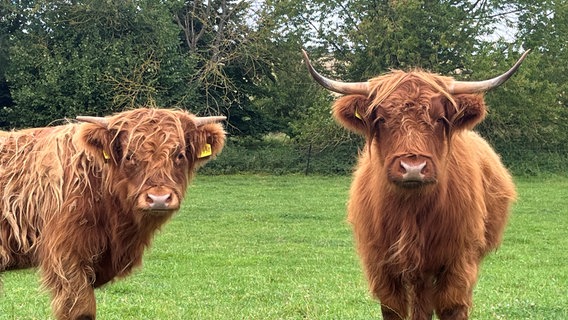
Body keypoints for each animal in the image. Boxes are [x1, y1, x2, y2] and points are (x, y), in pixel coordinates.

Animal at [304, 48, 532, 318]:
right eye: (381, 119)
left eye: (440, 118)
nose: (413, 168)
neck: (411, 212)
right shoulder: (382, 265)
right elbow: (395, 308)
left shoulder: (458, 260)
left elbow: (452, 306)